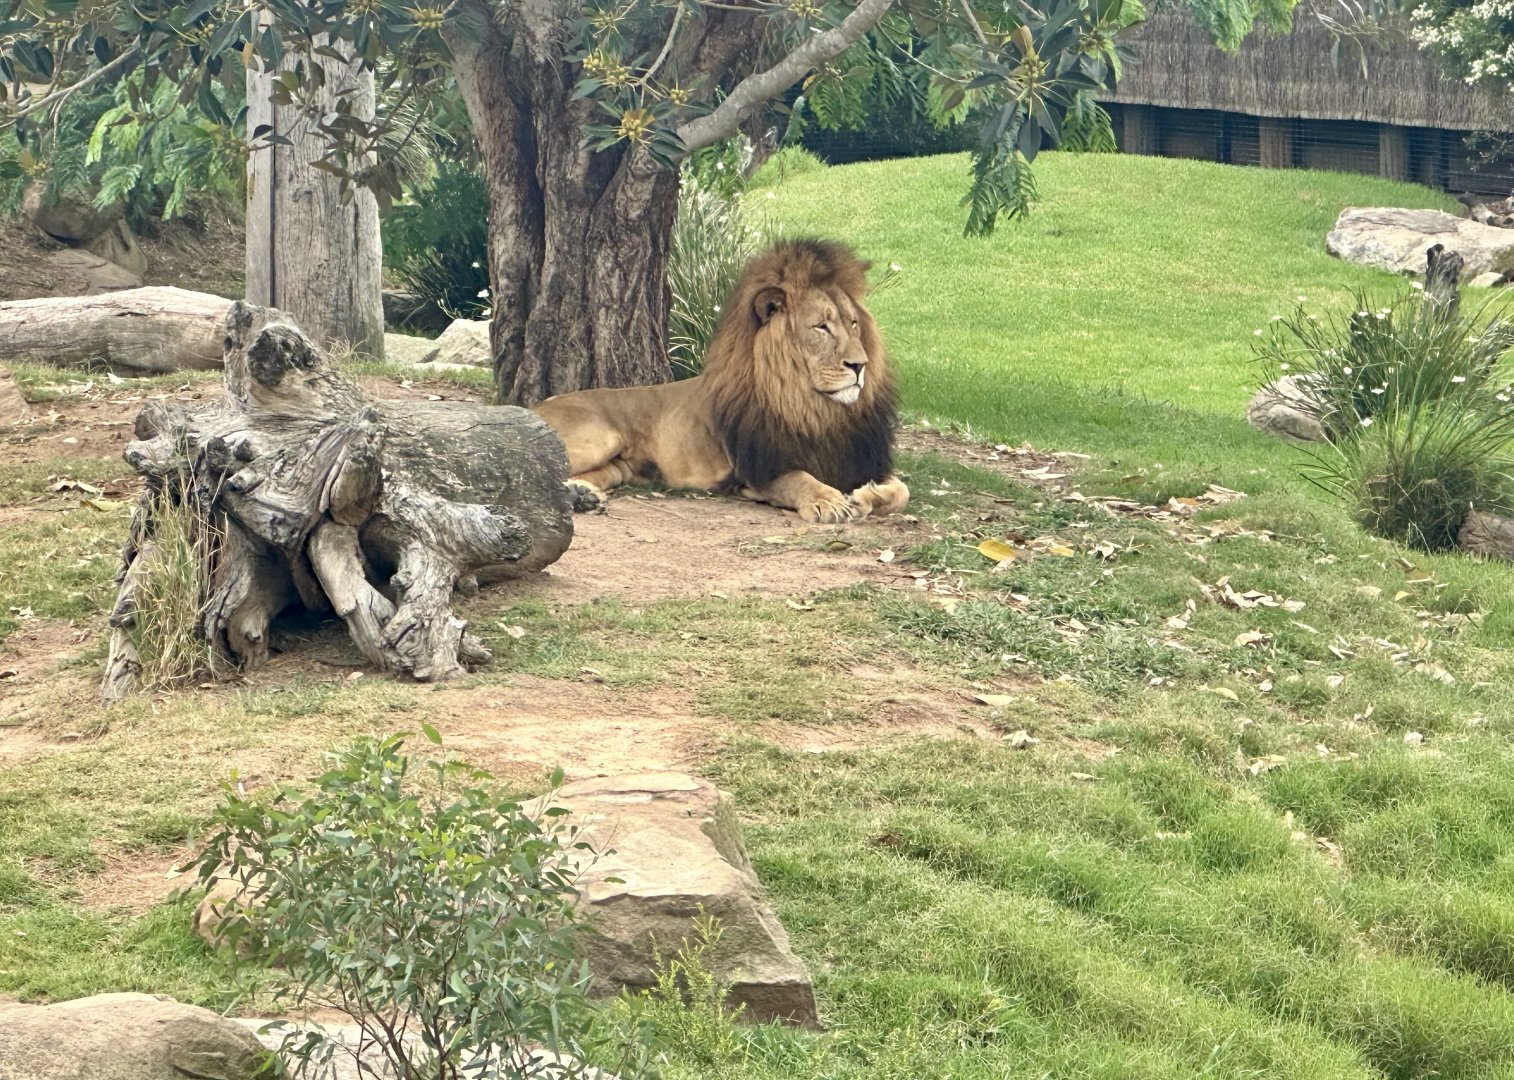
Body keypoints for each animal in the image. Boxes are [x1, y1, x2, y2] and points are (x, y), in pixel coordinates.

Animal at [533, 237, 909, 524]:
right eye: (821, 326)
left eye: (853, 323)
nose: (860, 365)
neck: (814, 407)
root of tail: (537, 405)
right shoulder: (759, 471)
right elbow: (800, 478)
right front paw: (827, 500)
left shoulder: (859, 459)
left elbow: (901, 490)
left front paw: (864, 497)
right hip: (599, 437)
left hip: (614, 469)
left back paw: (582, 496)